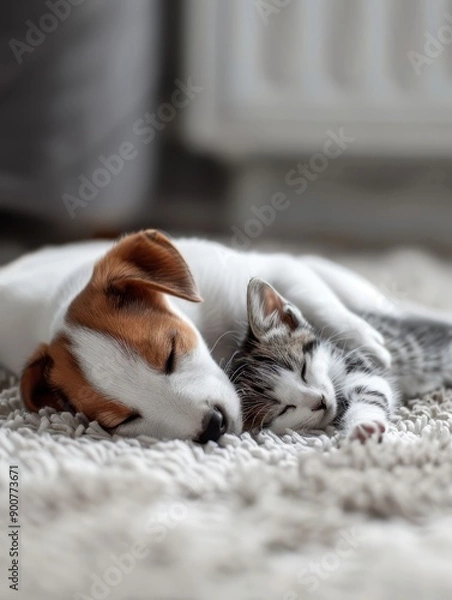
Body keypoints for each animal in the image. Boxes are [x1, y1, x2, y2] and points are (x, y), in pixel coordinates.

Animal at [0, 230, 388, 440]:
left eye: (170, 352)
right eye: (122, 420)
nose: (214, 426)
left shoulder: (260, 270)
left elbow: (315, 301)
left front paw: (367, 344)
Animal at [228, 278, 452, 442]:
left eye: (303, 369)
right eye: (284, 409)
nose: (320, 402)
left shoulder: (355, 360)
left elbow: (370, 392)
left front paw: (364, 423)